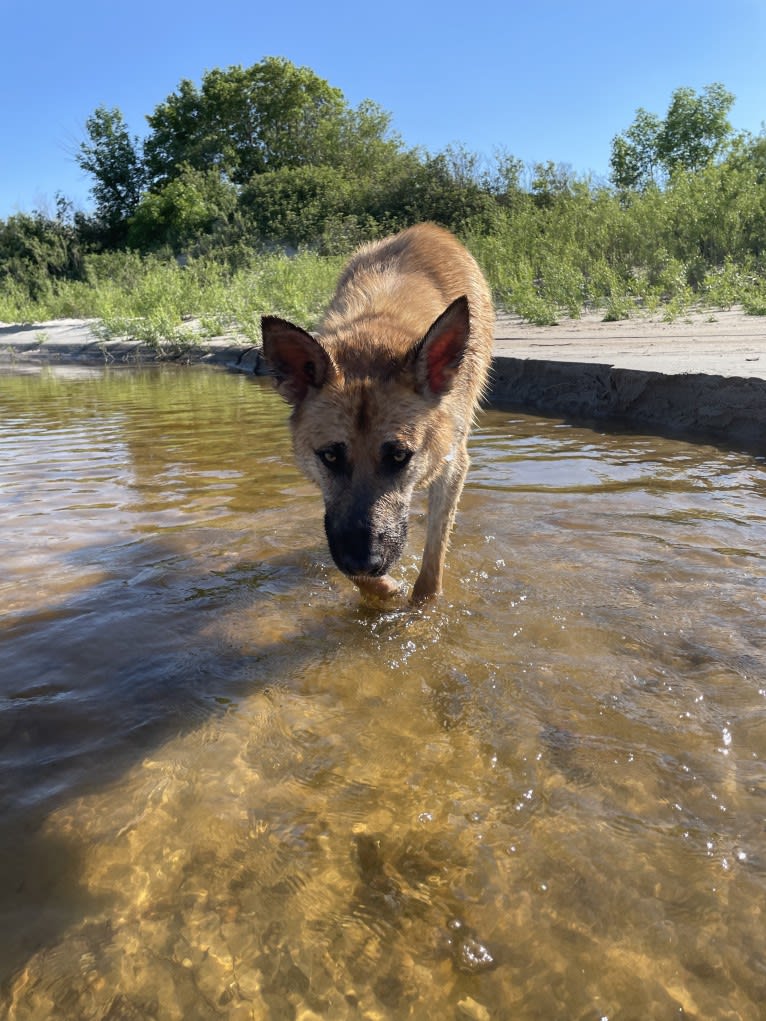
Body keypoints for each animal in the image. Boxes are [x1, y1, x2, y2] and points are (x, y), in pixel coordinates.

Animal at [261, 223, 494, 600]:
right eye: (330, 457)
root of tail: (427, 228)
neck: (375, 337)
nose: (362, 560)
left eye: (399, 456)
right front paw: (384, 592)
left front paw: (421, 607)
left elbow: (432, 568)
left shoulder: (452, 465)